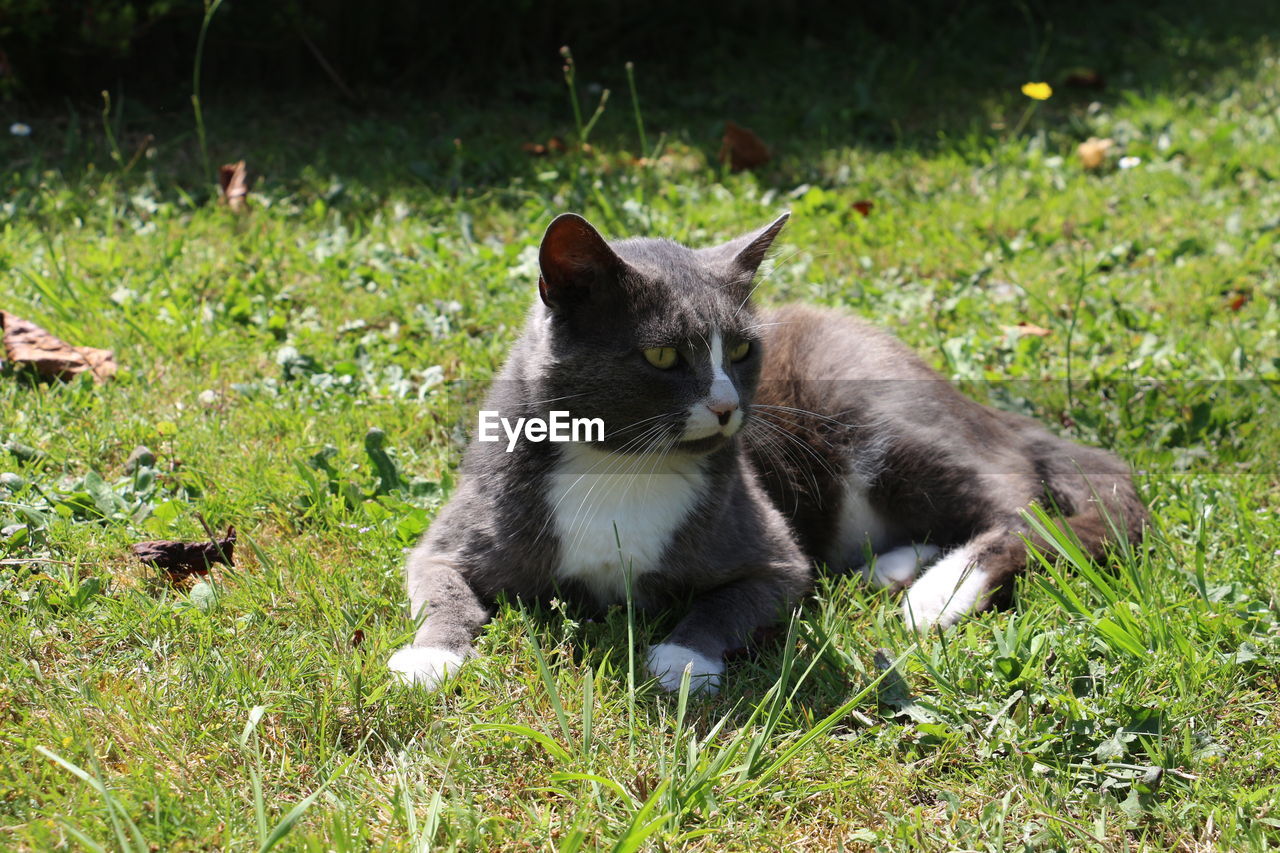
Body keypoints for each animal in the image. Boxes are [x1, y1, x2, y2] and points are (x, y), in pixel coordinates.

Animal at [384, 211, 1146, 691]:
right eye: (663, 355)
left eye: (744, 350)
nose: (726, 407)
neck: (622, 466)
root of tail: (989, 408)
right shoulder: (466, 525)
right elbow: (436, 581)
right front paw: (429, 660)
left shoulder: (771, 552)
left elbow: (744, 595)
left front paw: (681, 658)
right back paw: (897, 566)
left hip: (883, 419)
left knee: (1028, 509)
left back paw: (936, 594)